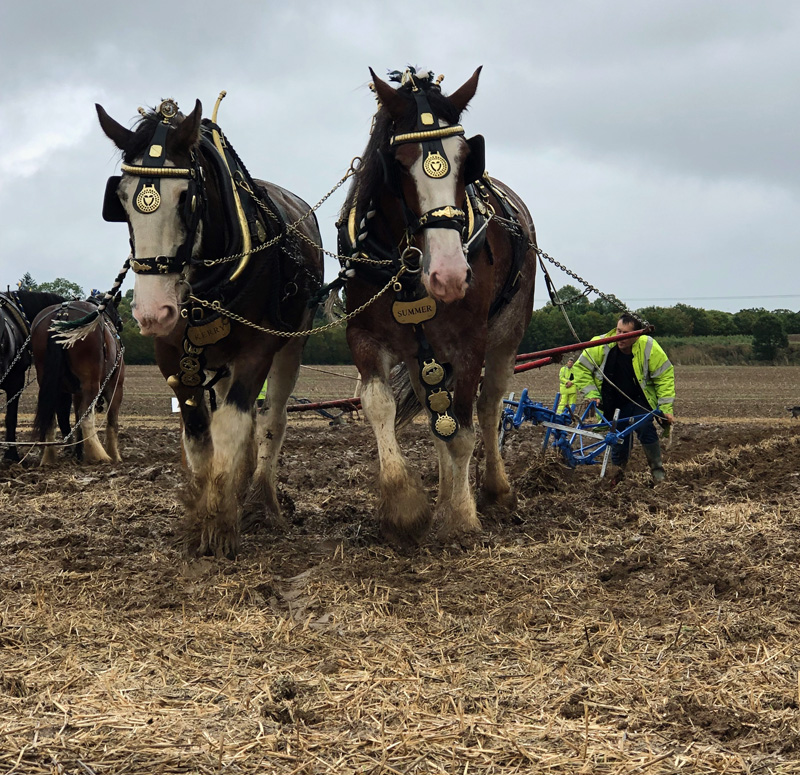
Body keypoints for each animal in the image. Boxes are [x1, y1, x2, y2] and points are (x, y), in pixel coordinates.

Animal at [31, 297, 125, 465]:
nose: (120, 324)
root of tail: (63, 314)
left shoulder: (77, 393)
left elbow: (76, 421)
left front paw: (79, 453)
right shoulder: (116, 387)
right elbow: (112, 422)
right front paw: (115, 455)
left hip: (48, 383)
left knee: (51, 418)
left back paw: (49, 457)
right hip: (92, 383)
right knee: (86, 416)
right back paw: (99, 455)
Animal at [93, 96, 323, 558]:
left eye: (187, 198)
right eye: (121, 200)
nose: (152, 312)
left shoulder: (258, 350)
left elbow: (233, 426)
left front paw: (221, 525)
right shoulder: (174, 358)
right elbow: (200, 434)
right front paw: (203, 517)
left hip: (291, 346)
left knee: (271, 420)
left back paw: (264, 502)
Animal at [336, 66, 537, 545]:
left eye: (466, 158)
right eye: (398, 161)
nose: (448, 275)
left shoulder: (470, 342)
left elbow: (463, 430)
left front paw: (460, 516)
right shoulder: (364, 335)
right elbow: (380, 405)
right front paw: (405, 507)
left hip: (507, 335)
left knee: (489, 406)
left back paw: (493, 490)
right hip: (420, 354)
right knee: (435, 416)